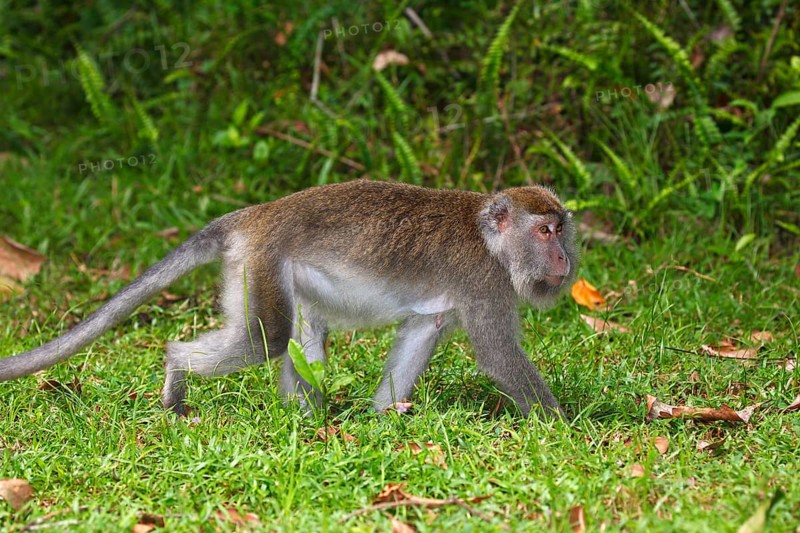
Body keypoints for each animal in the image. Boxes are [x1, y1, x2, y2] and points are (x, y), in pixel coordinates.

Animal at [0, 180, 578, 419]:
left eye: (561, 230)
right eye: (544, 231)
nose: (565, 259)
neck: (490, 241)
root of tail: (256, 215)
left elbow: (423, 329)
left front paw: (383, 415)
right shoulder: (484, 282)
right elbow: (497, 357)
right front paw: (566, 429)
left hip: (268, 270)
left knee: (304, 334)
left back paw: (305, 418)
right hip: (261, 262)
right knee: (268, 339)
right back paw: (176, 371)